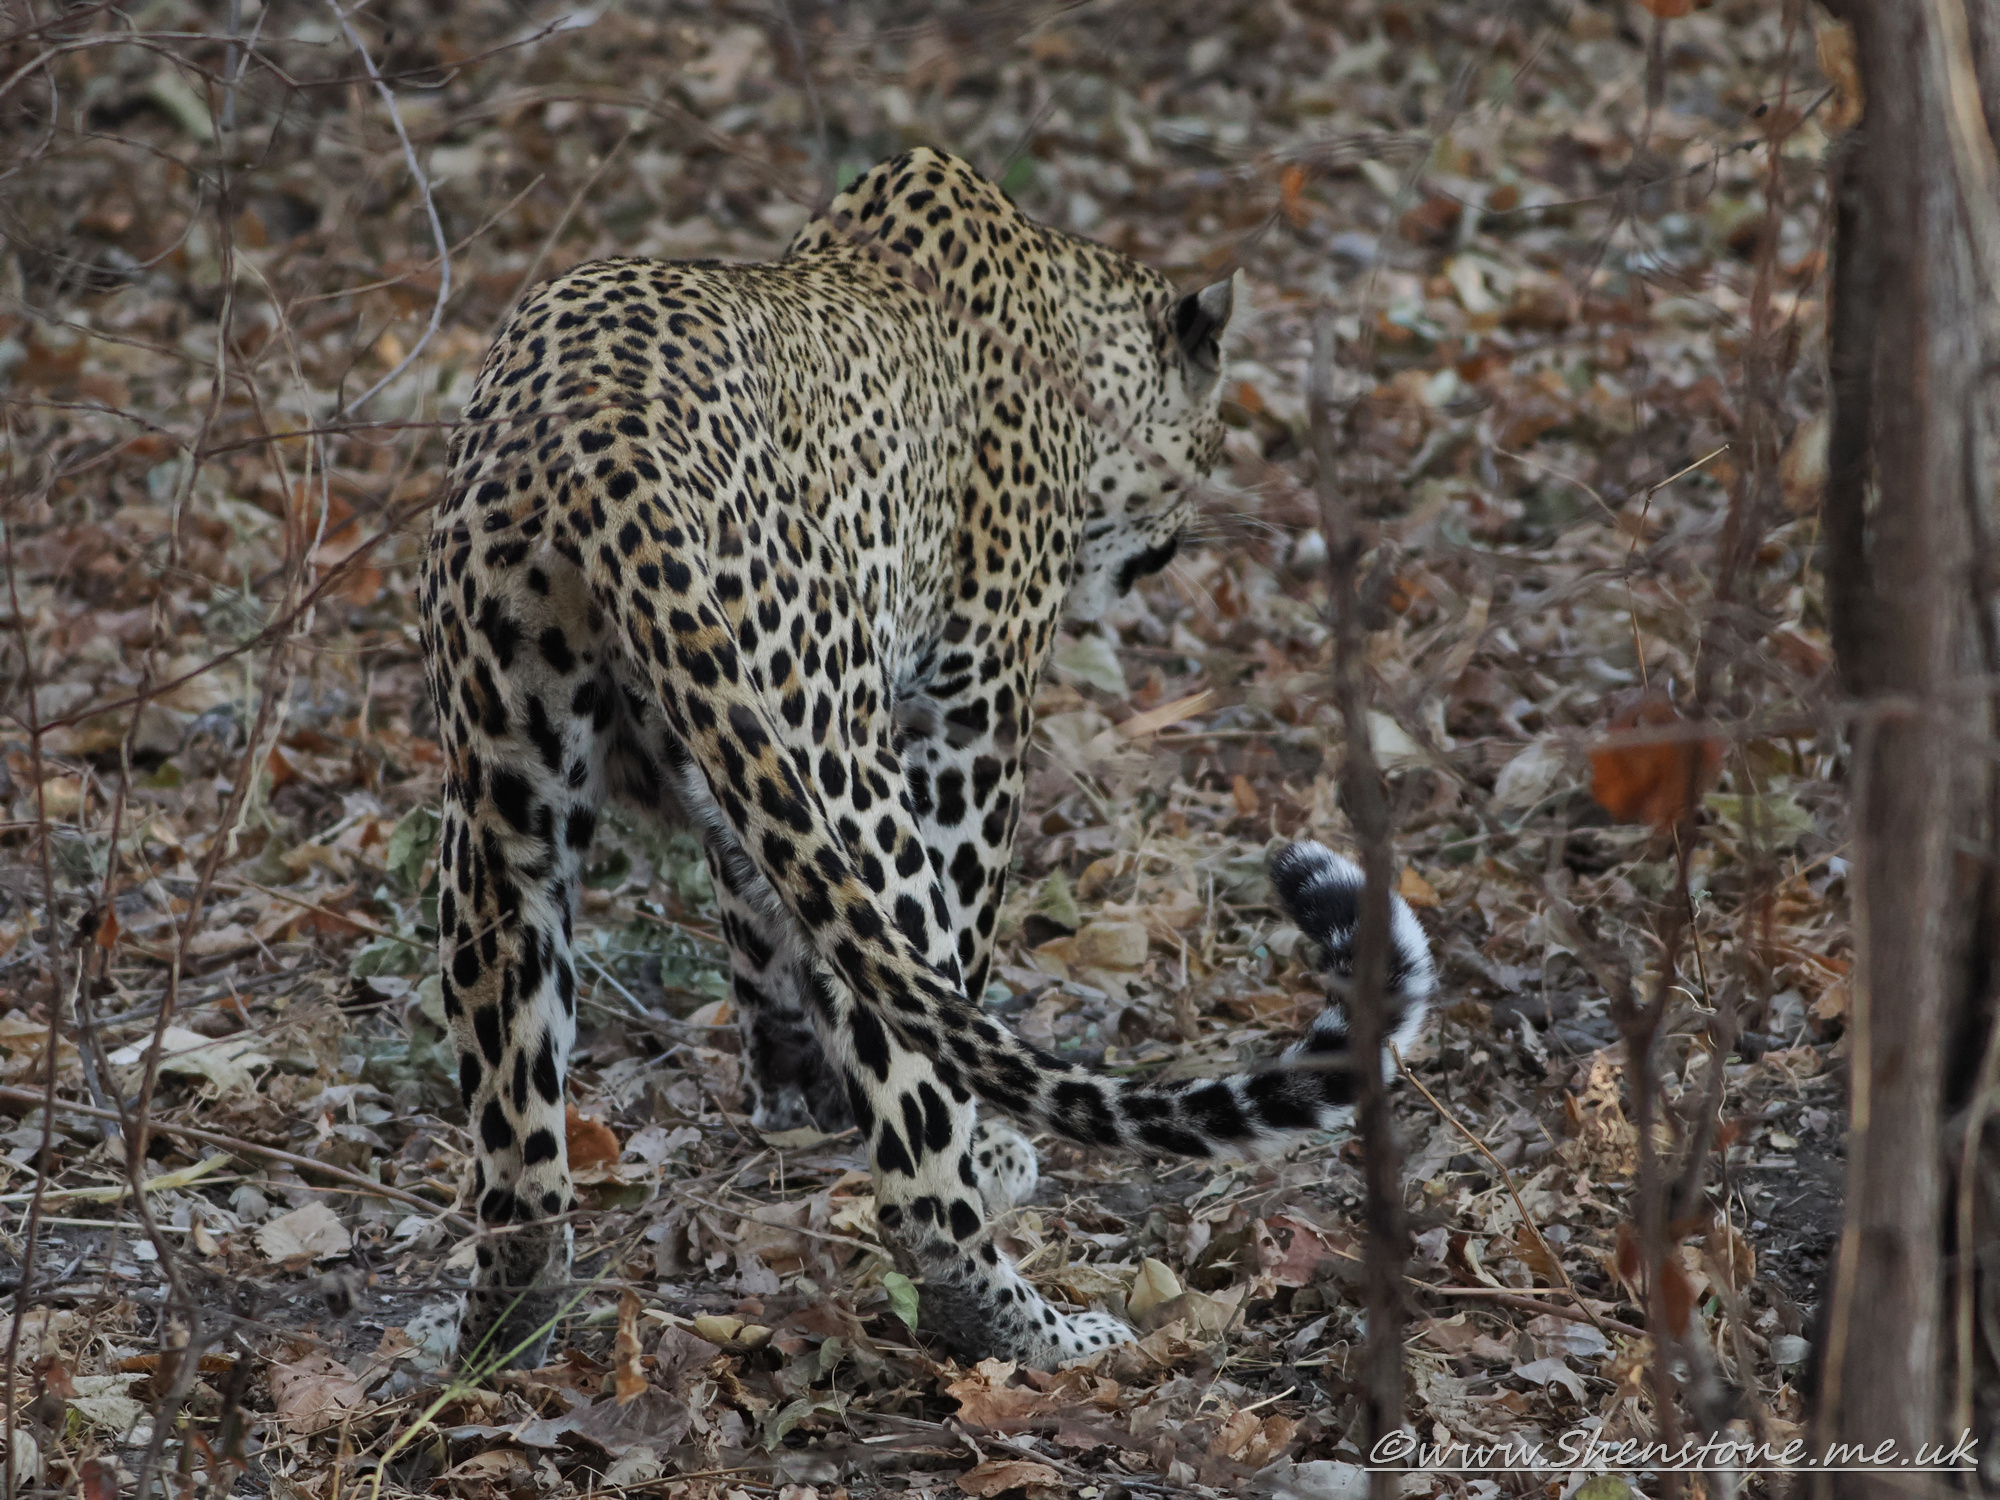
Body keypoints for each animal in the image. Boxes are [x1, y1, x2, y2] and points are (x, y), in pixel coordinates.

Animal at [419, 146, 1437, 1371]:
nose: (1169, 539)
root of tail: (590, 442)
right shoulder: (968, 719)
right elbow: (954, 959)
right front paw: (983, 1142)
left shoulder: (741, 772)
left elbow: (769, 938)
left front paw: (795, 1096)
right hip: (843, 777)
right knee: (916, 1174)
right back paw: (1035, 1324)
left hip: (507, 806)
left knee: (518, 1153)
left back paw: (500, 1334)